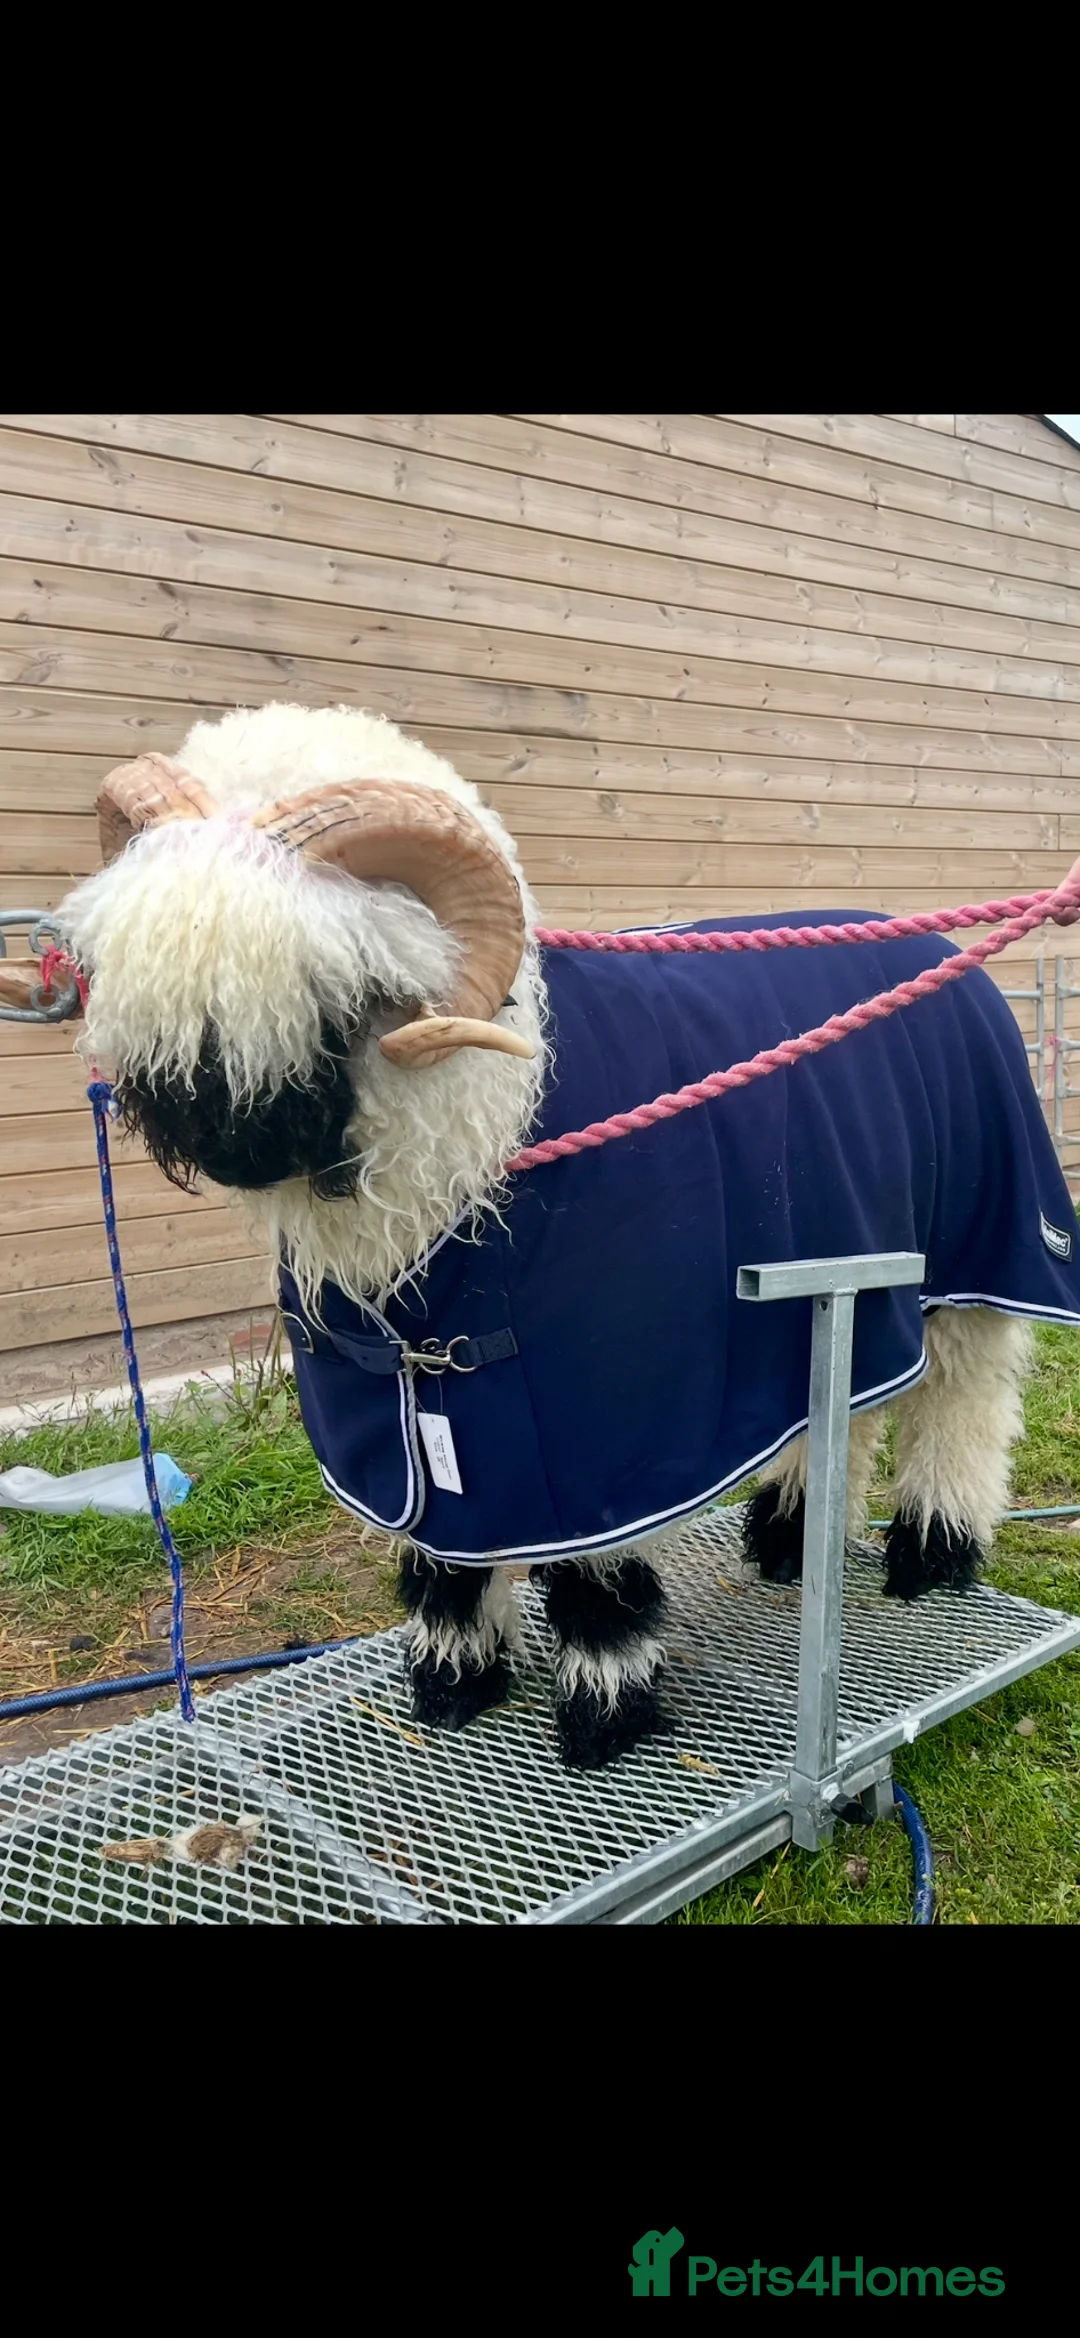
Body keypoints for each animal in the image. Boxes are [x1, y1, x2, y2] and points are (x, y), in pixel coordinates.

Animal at [55, 702, 1080, 1769]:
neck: (484, 1138)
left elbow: (596, 1565)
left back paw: (934, 1552)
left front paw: (602, 1710)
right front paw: (452, 1678)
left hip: (985, 1236)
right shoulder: (415, 1400)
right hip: (847, 1268)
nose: (221, 1143)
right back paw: (793, 1541)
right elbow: (446, 1543)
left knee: (966, 1392)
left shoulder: (614, 1412)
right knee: (851, 1397)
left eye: (330, 978)